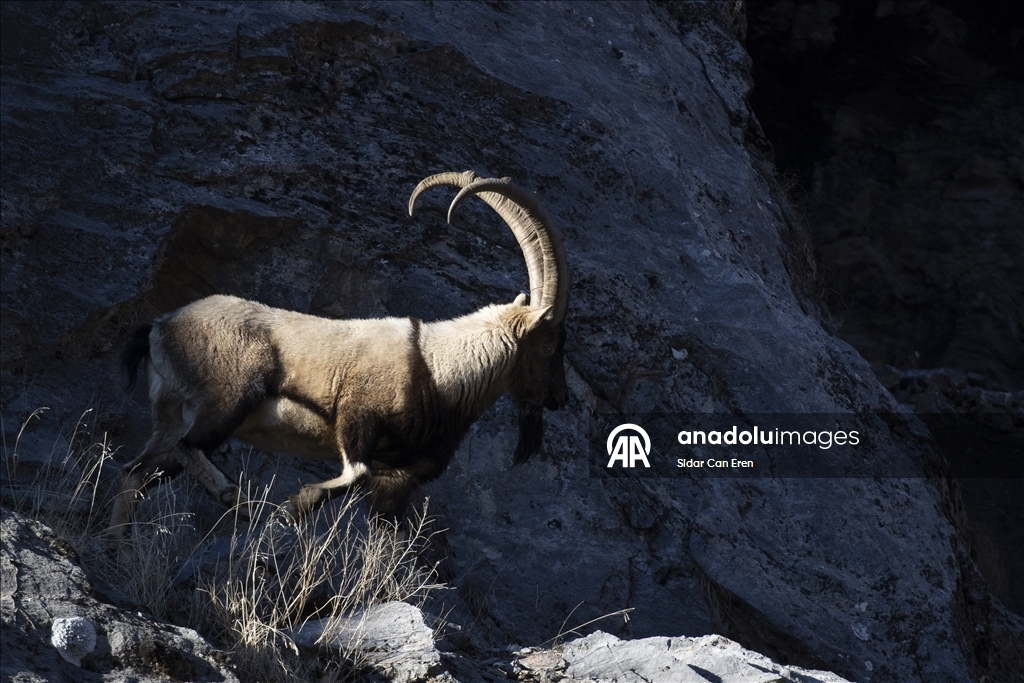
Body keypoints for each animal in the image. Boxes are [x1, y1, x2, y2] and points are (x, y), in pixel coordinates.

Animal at [110, 171, 570, 532]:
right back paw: (235, 499)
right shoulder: (357, 415)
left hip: (171, 419)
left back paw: (119, 546)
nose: (560, 397)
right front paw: (292, 506)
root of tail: (160, 327)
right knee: (189, 446)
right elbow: (354, 472)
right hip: (231, 395)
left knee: (135, 474)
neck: (437, 368)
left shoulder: (399, 478)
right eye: (550, 344)